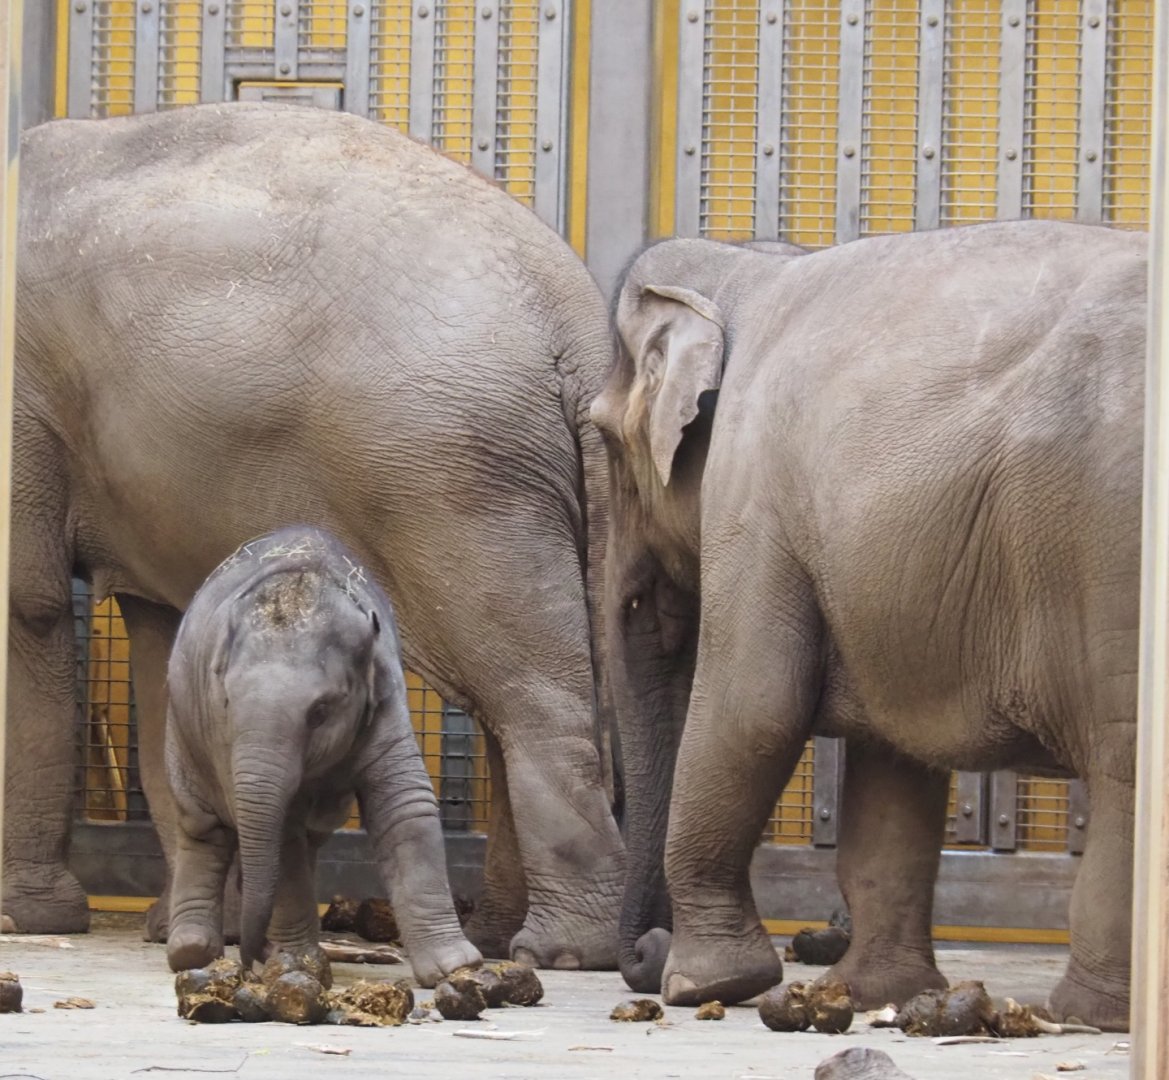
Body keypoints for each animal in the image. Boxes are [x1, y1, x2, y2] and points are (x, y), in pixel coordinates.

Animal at [166, 526, 480, 985]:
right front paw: (299, 964)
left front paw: (456, 967)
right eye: (226, 701)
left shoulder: (386, 697)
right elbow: (282, 830)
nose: (249, 962)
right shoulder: (221, 733)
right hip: (181, 730)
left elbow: (405, 805)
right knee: (202, 824)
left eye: (320, 711)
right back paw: (191, 951)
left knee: (311, 835)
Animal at [590, 220, 1145, 1031]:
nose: (641, 954)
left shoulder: (754, 495)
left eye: (600, 436)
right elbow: (892, 765)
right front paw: (873, 996)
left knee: (1122, 761)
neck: (748, 265)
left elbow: (752, 709)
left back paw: (1089, 1013)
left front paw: (704, 986)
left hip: (1105, 547)